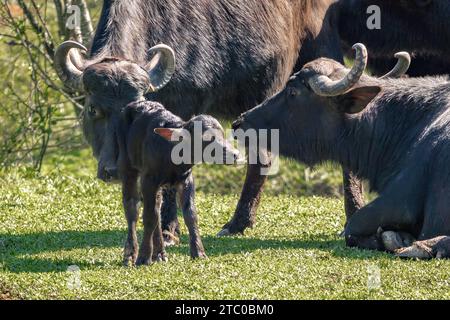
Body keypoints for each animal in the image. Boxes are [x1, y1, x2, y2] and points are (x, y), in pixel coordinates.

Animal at [114, 100, 237, 264]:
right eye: (206, 138)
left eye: (222, 135)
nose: (234, 154)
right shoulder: (148, 180)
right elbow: (149, 216)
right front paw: (143, 257)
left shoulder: (186, 180)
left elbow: (190, 214)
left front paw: (198, 252)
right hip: (127, 167)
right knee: (132, 206)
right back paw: (130, 255)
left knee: (157, 207)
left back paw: (160, 254)